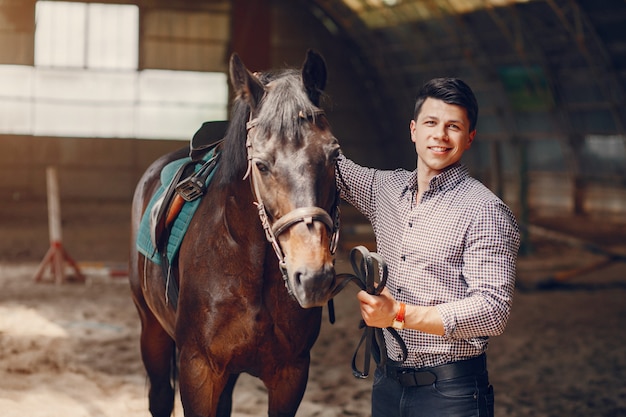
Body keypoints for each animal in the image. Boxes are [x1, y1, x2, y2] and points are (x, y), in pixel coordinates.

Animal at [127, 49, 342, 416]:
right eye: (262, 164)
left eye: (333, 155)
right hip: (152, 331)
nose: (314, 277)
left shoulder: (291, 374)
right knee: (159, 396)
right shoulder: (198, 368)